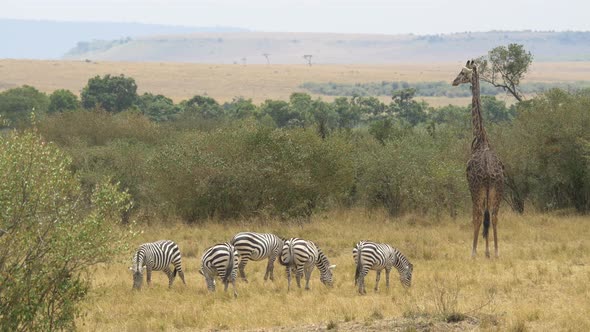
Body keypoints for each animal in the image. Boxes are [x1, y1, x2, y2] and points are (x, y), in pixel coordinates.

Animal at [454, 59, 504, 258]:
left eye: (462, 72)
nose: (454, 81)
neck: (481, 138)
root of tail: (490, 173)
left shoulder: (470, 185)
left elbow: (476, 216)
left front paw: (477, 250)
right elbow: (487, 217)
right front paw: (488, 251)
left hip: (478, 188)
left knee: (478, 215)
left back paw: (473, 251)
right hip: (497, 189)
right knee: (494, 215)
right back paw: (496, 251)